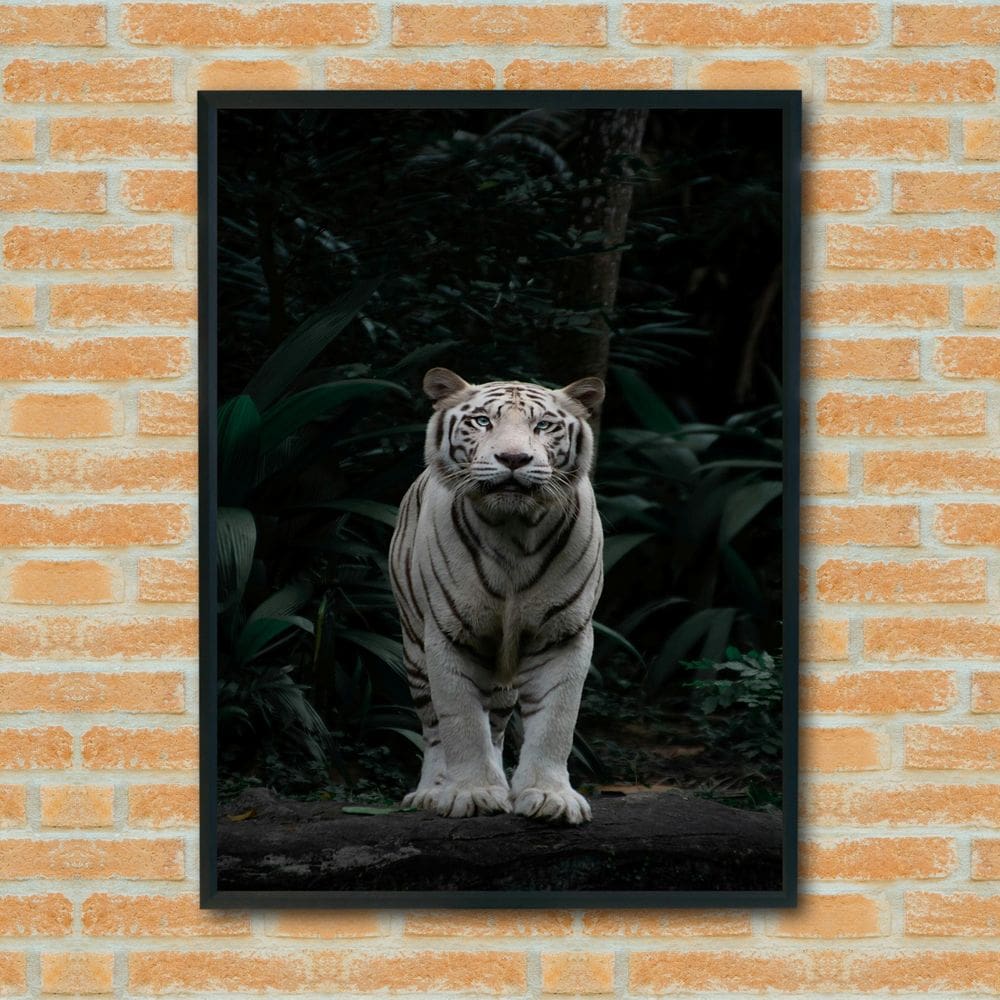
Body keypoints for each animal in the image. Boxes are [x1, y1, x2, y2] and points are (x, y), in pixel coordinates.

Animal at [388, 367, 605, 825]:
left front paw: (549, 796)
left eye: (543, 426)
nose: (513, 459)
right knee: (433, 728)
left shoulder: (564, 634)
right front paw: (472, 793)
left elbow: (556, 721)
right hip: (414, 648)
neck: (514, 531)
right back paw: (432, 791)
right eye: (483, 421)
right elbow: (461, 722)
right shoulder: (449, 633)